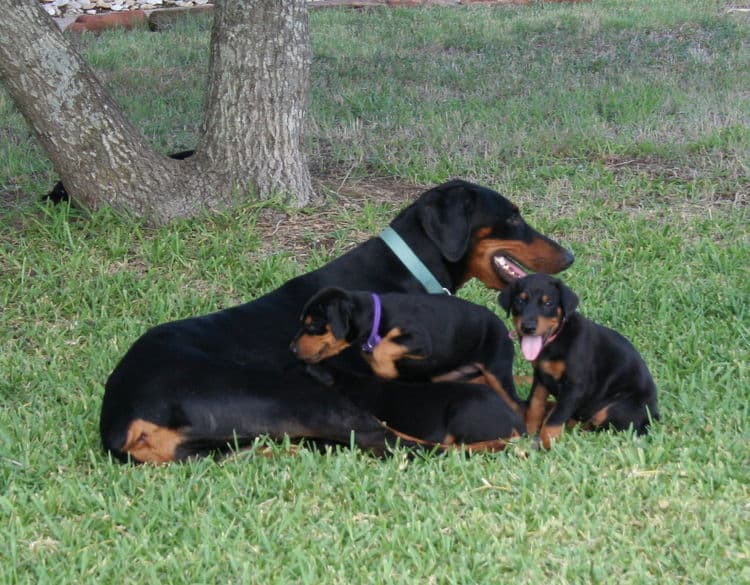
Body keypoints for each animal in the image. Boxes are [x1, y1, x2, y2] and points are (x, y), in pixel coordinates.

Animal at [290, 286, 524, 416]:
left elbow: (386, 346)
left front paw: (385, 365)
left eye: (313, 324)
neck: (376, 318)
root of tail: (505, 329)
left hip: (497, 370)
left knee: (517, 404)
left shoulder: (418, 339)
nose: (291, 348)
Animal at [502, 274, 660, 448]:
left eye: (548, 303)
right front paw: (529, 432)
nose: (528, 327)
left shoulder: (574, 385)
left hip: (618, 407)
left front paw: (548, 444)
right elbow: (534, 404)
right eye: (520, 301)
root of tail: (654, 416)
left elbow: (556, 418)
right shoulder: (541, 376)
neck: (557, 338)